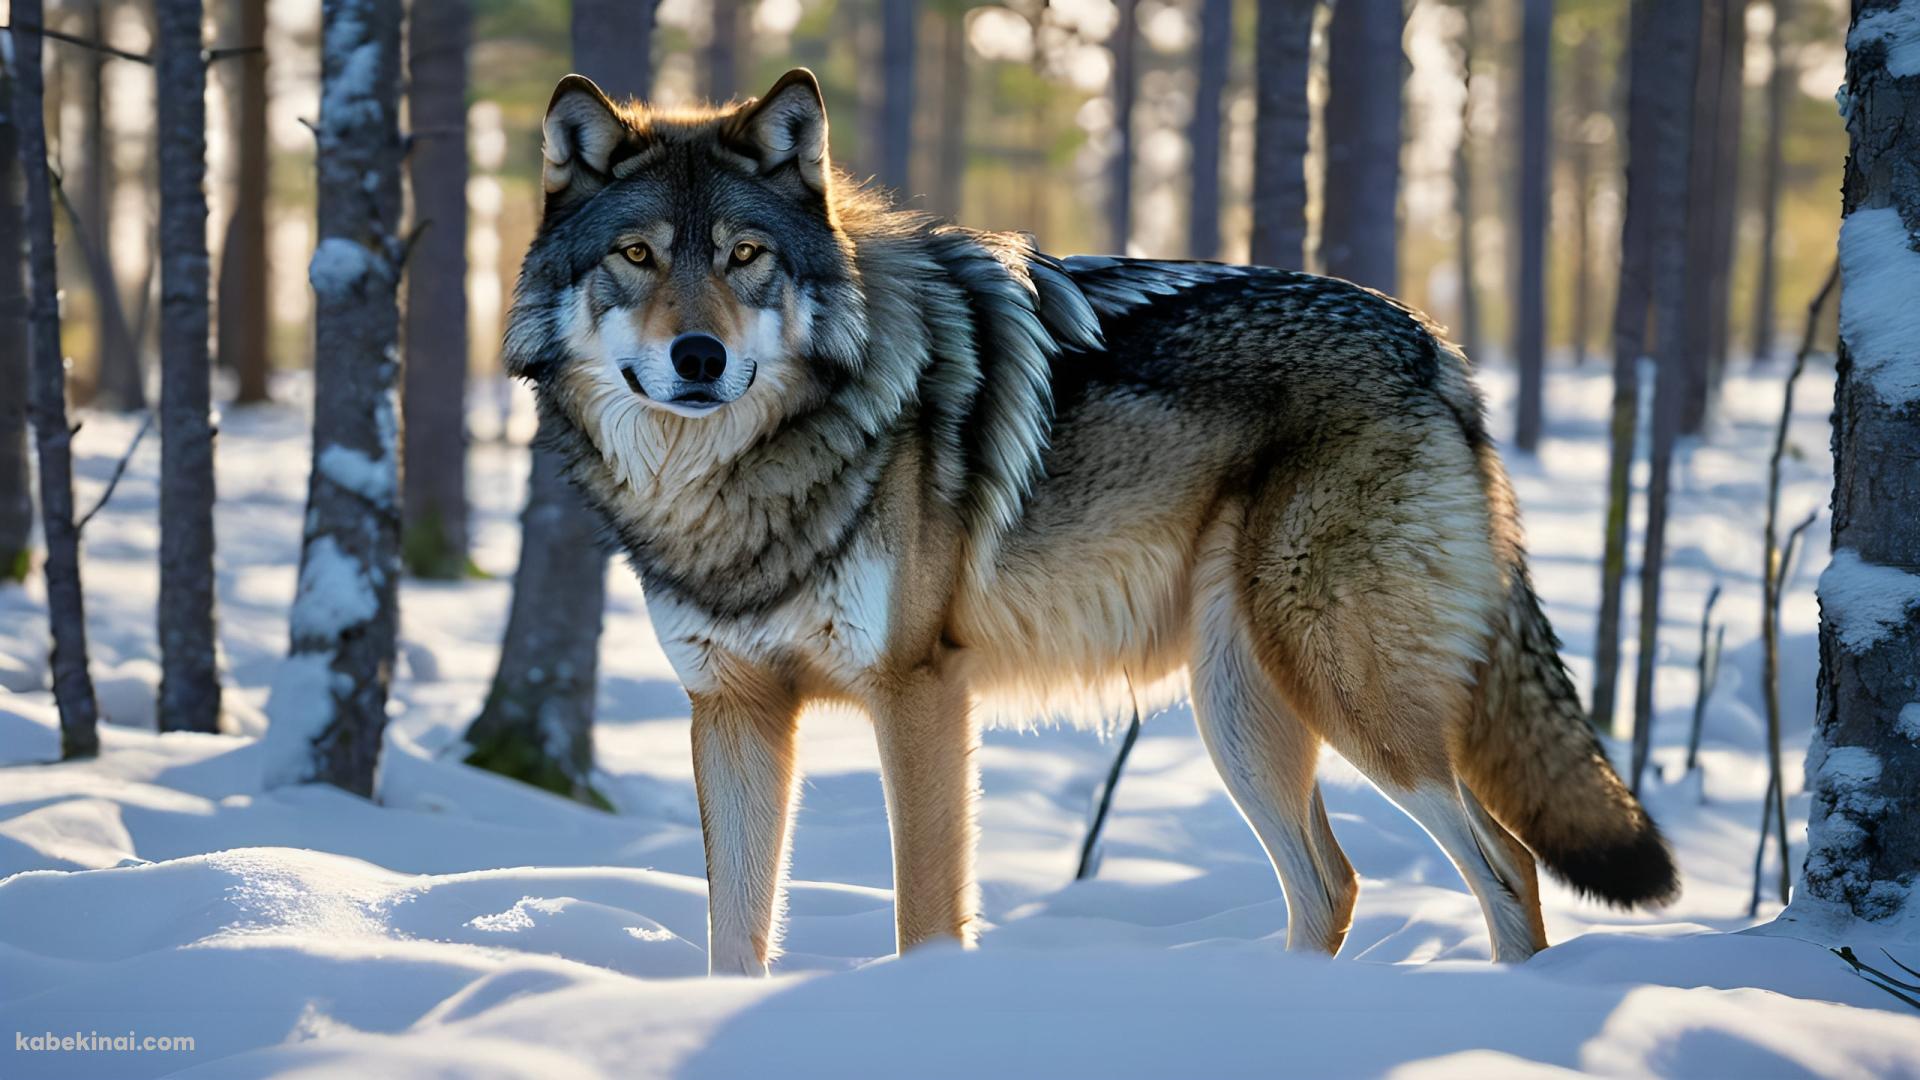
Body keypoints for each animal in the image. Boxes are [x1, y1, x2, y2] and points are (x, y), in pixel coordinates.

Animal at [510, 69, 1681, 976]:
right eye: (638, 257)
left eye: (745, 255)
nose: (698, 358)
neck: (734, 485)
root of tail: (1436, 348)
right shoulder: (733, 710)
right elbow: (734, 937)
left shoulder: (919, 690)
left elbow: (923, 915)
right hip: (1240, 712)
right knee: (1334, 884)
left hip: (1345, 697)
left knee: (1505, 863)